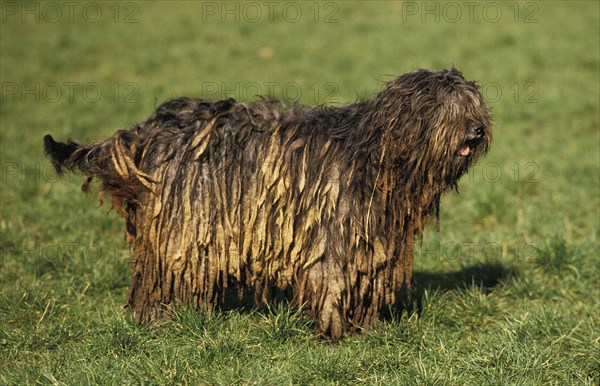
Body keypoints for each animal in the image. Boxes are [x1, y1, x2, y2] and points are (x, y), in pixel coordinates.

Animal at [43, 68, 492, 340]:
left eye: (474, 107)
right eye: (449, 109)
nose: (477, 130)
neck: (378, 156)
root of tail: (143, 132)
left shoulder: (373, 243)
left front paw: (366, 327)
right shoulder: (332, 237)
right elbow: (331, 282)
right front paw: (335, 331)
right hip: (182, 225)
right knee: (162, 275)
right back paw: (162, 317)